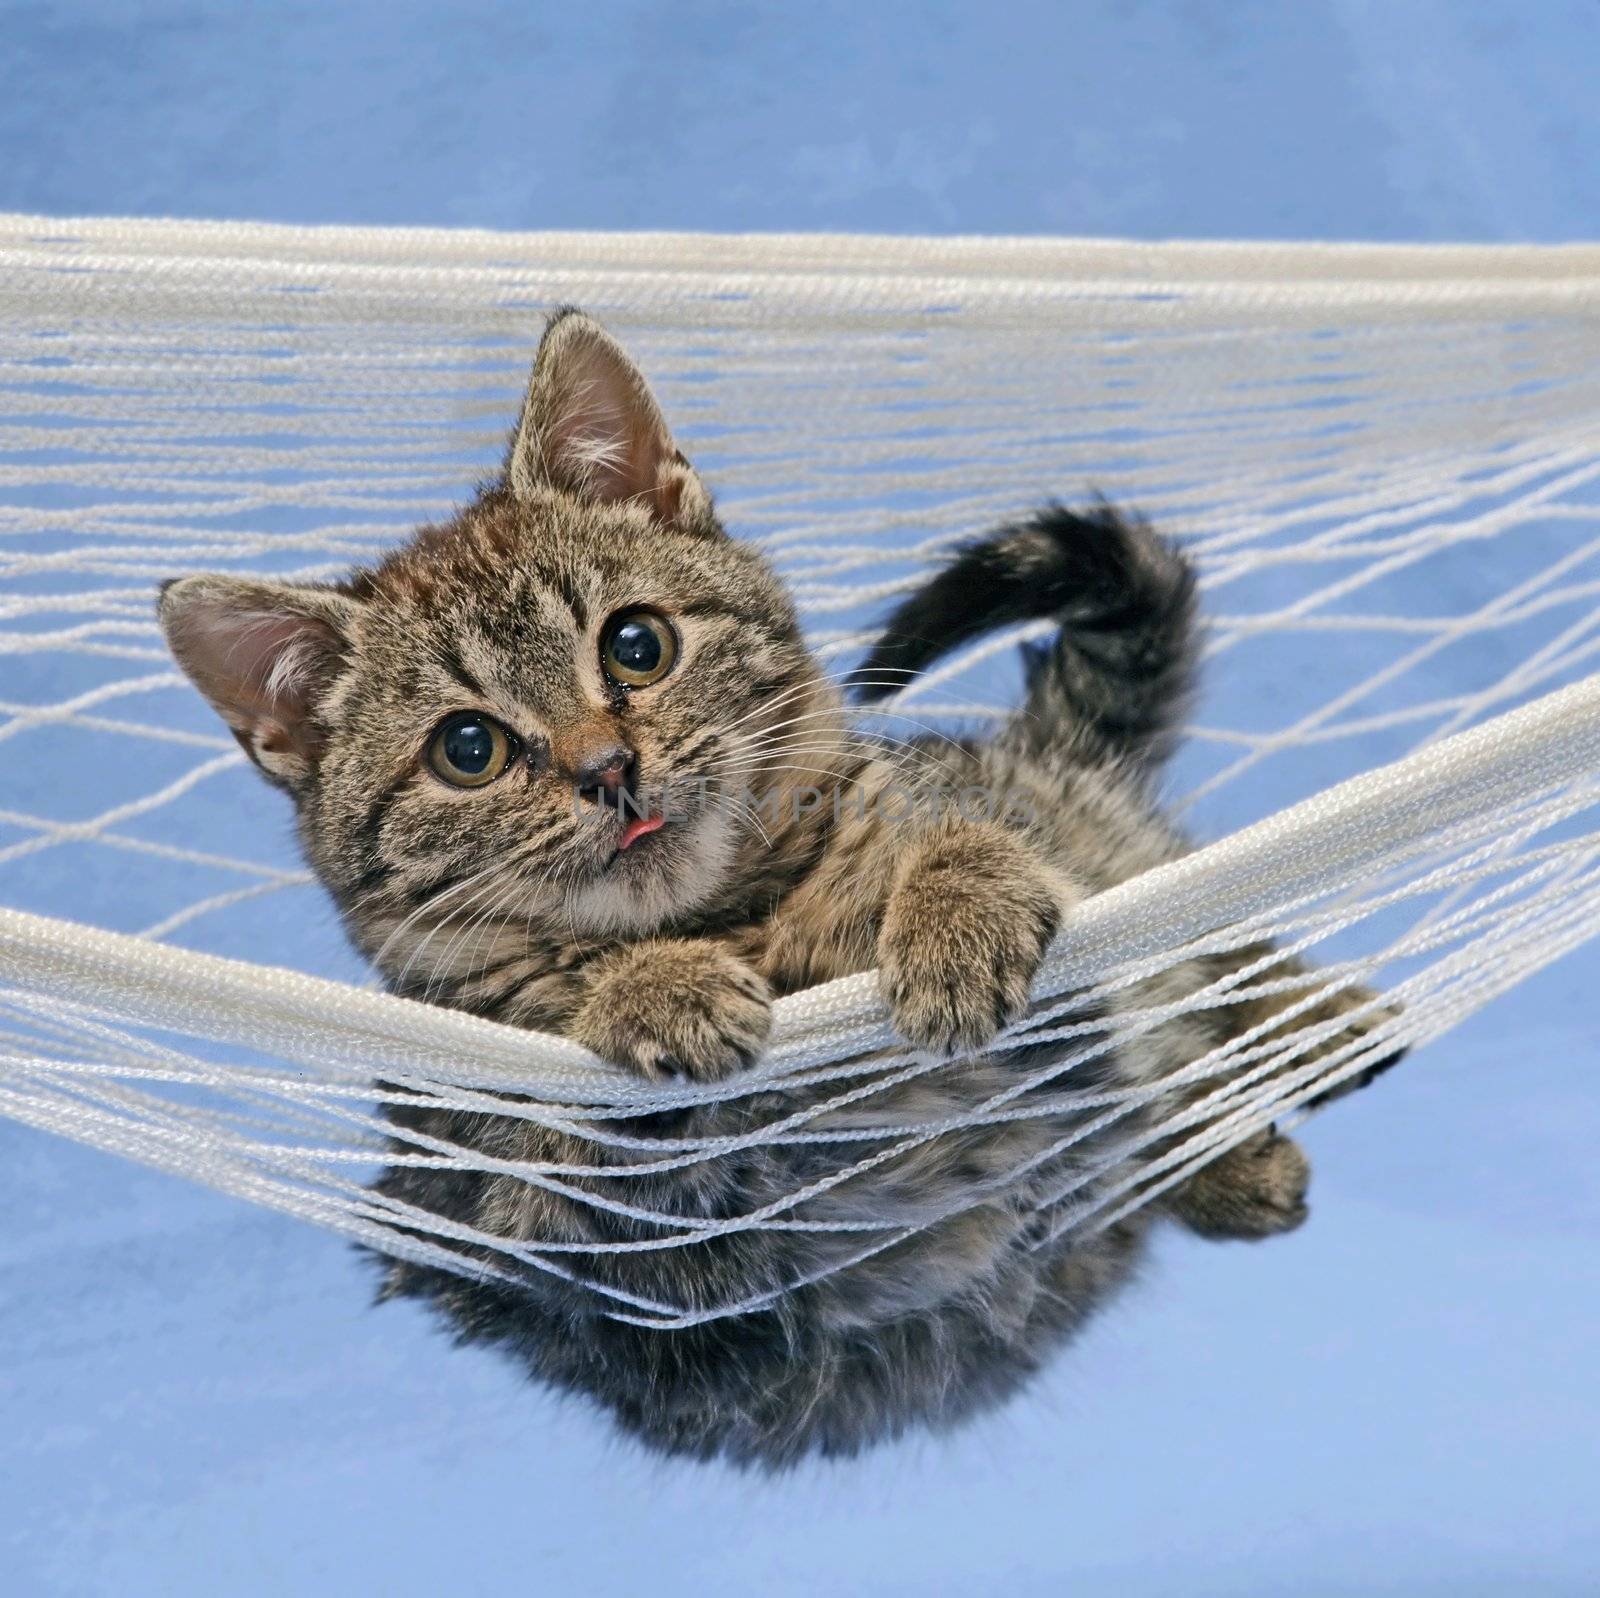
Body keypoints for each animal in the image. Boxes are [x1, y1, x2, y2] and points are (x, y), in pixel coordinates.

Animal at [156, 311, 1395, 1471]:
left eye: (637, 644)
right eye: (469, 748)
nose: (608, 768)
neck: (737, 917)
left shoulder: (964, 820)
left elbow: (977, 843)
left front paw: (957, 916)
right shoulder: (528, 1210)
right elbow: (604, 1119)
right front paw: (649, 989)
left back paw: (1302, 1038)